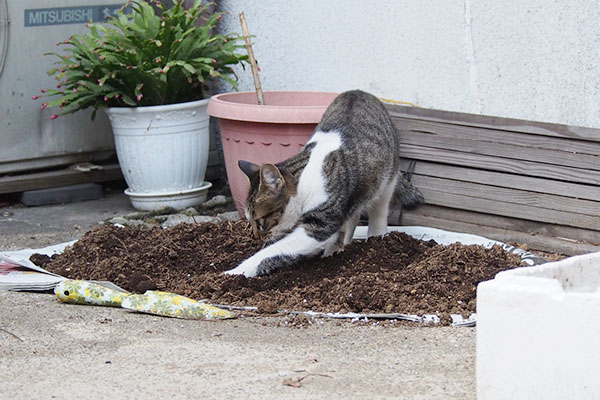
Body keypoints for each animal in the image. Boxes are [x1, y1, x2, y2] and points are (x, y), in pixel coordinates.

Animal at [223, 90, 424, 278]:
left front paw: (235, 272)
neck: (305, 180)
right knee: (352, 217)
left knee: (378, 210)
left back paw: (376, 238)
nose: (256, 236)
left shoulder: (320, 224)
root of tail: (358, 92)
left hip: (386, 180)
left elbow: (271, 251)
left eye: (259, 220)